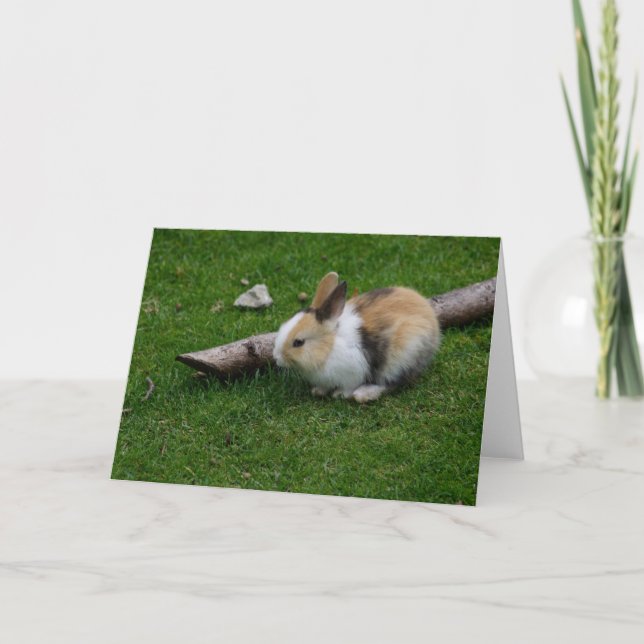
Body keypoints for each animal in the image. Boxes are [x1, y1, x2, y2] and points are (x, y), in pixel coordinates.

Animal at [273, 272, 441, 402]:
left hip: (402, 359)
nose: (277, 358)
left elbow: (349, 386)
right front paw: (318, 391)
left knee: (392, 383)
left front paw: (339, 394)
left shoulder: (353, 373)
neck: (330, 346)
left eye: (298, 342)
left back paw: (364, 394)